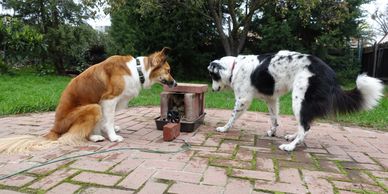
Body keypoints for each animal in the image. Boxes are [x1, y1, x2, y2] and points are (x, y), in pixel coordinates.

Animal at [0, 47, 176, 153]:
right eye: (168, 71)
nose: (175, 83)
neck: (137, 71)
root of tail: (55, 129)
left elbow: (107, 121)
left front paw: (109, 130)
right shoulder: (108, 100)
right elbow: (108, 121)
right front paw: (112, 136)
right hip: (93, 107)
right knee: (72, 135)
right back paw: (95, 137)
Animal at [208, 50, 384, 152]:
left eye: (212, 75)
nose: (212, 90)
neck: (234, 67)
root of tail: (331, 75)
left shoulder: (242, 100)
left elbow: (232, 117)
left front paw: (224, 128)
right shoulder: (272, 99)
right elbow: (274, 119)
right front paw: (273, 132)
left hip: (299, 100)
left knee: (305, 127)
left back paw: (291, 146)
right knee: (304, 126)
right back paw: (293, 137)